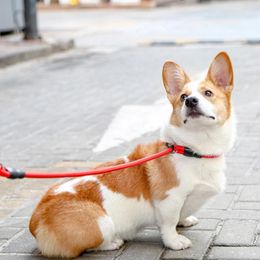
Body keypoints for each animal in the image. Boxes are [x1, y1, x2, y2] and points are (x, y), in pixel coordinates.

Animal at [29, 52, 235, 258]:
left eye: (208, 93)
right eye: (183, 96)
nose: (190, 101)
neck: (192, 149)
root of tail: (36, 219)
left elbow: (180, 216)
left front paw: (185, 221)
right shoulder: (169, 200)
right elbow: (169, 224)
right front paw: (175, 241)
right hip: (102, 222)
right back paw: (113, 242)